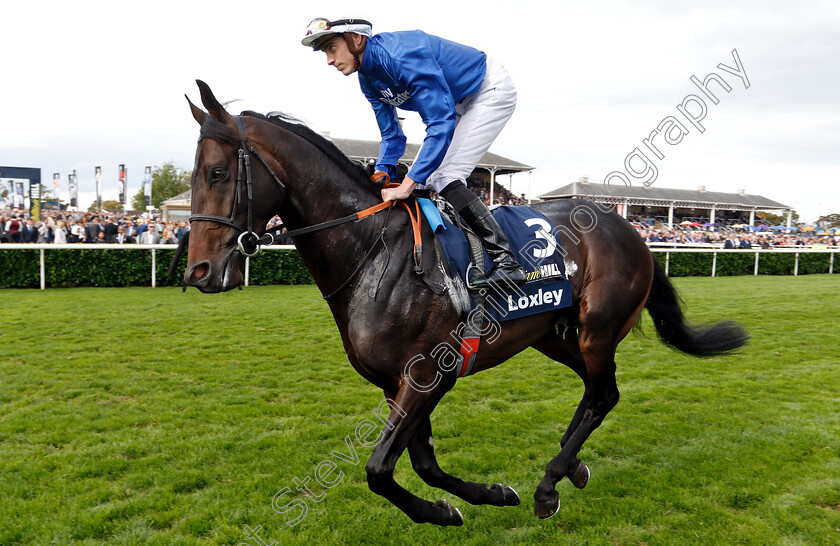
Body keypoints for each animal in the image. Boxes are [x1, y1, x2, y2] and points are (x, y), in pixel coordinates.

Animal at [180, 81, 744, 524]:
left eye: (216, 174)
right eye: (190, 177)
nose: (197, 271)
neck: (374, 253)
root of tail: (631, 230)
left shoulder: (429, 374)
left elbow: (379, 469)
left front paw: (452, 509)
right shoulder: (396, 382)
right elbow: (421, 464)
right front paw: (483, 497)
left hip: (598, 327)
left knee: (603, 392)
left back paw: (550, 483)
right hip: (551, 335)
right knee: (595, 391)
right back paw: (572, 465)